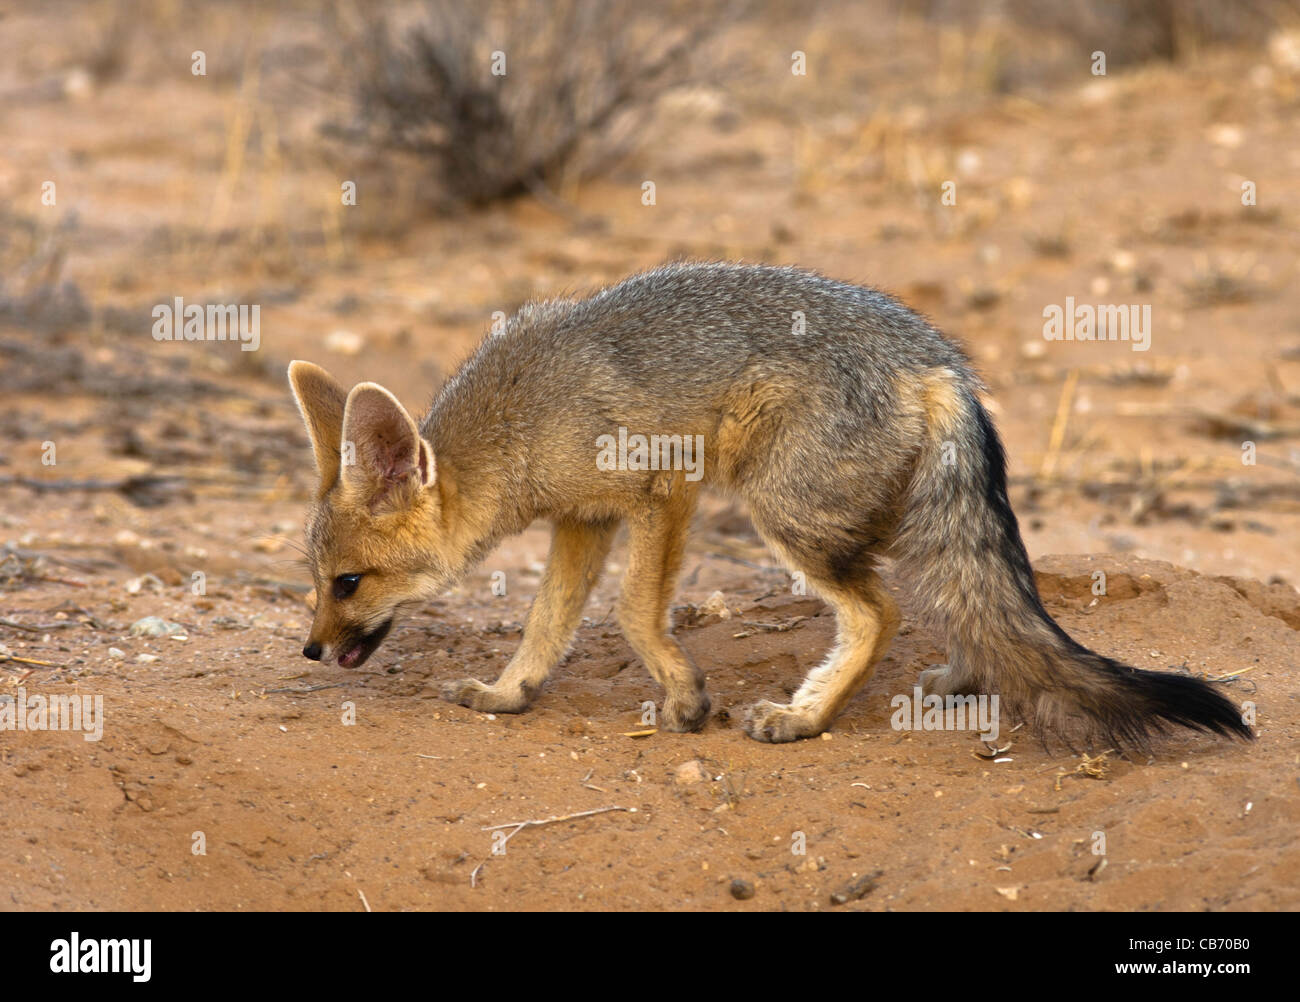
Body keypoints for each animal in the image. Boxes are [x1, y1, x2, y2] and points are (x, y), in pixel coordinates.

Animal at [288, 261, 1251, 748]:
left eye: (347, 584)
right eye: (315, 582)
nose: (310, 649)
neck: (519, 415)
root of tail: (937, 358)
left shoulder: (661, 488)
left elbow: (633, 613)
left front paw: (684, 699)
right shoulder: (583, 519)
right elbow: (547, 622)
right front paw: (507, 693)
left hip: (780, 510)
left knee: (879, 611)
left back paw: (806, 716)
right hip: (884, 521)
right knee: (960, 602)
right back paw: (962, 677)